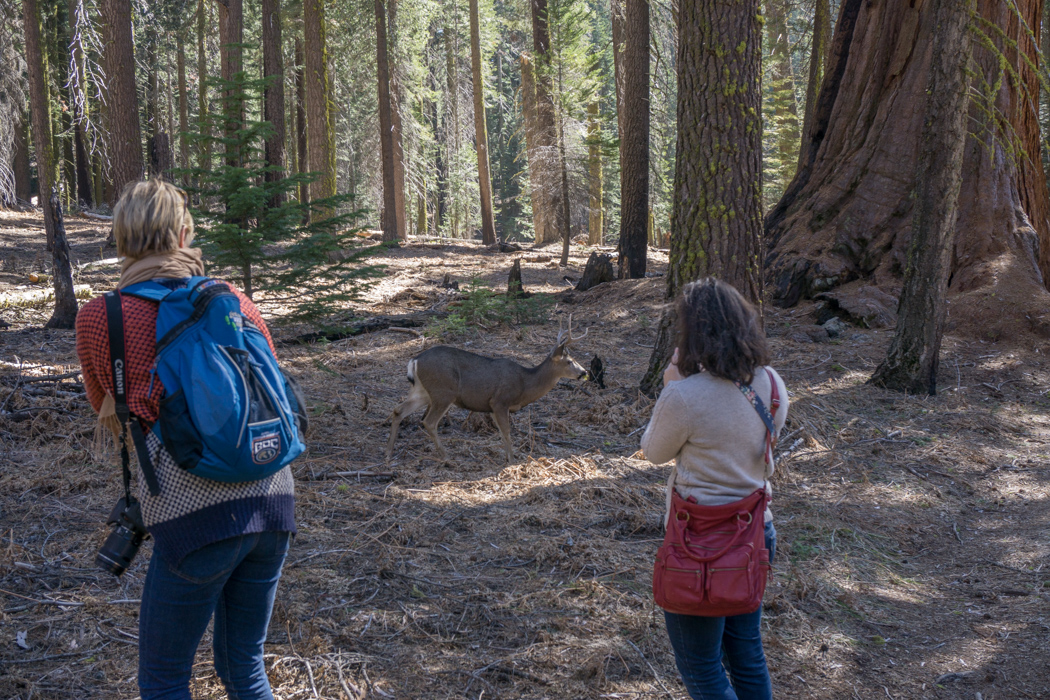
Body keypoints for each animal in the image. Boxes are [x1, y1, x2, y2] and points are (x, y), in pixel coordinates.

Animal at [388, 314, 592, 461]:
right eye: (569, 361)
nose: (583, 372)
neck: (525, 384)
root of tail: (415, 360)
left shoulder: (492, 407)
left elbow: (501, 433)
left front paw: (508, 457)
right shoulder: (500, 401)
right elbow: (507, 432)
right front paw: (512, 460)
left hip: (422, 391)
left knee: (398, 410)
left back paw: (389, 454)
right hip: (443, 391)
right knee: (429, 422)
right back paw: (446, 457)